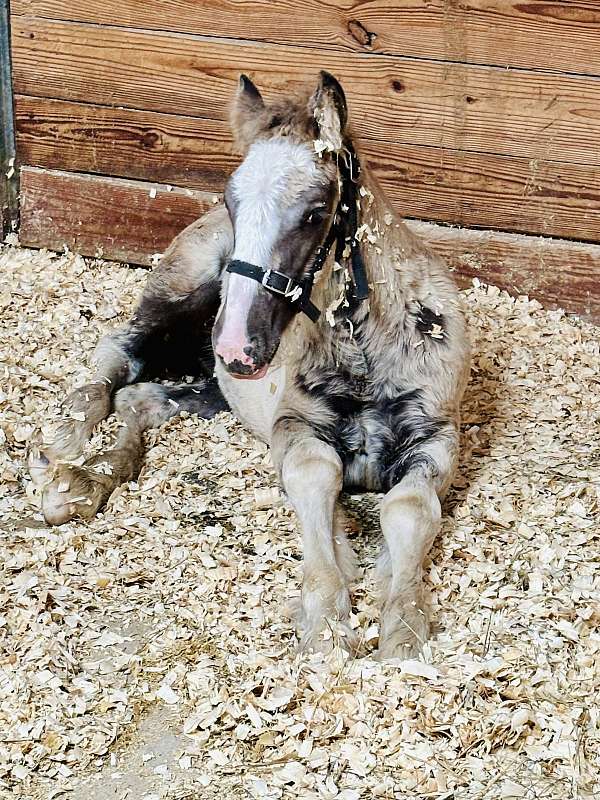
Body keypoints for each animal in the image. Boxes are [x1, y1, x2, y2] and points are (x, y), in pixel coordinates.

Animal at [30, 73, 472, 656]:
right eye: (231, 199)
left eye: (314, 213)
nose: (237, 346)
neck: (365, 356)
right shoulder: (294, 426)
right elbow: (315, 477)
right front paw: (325, 617)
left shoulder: (436, 438)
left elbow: (409, 509)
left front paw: (404, 626)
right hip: (181, 297)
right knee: (120, 354)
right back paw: (68, 441)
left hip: (212, 391)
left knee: (141, 400)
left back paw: (85, 482)